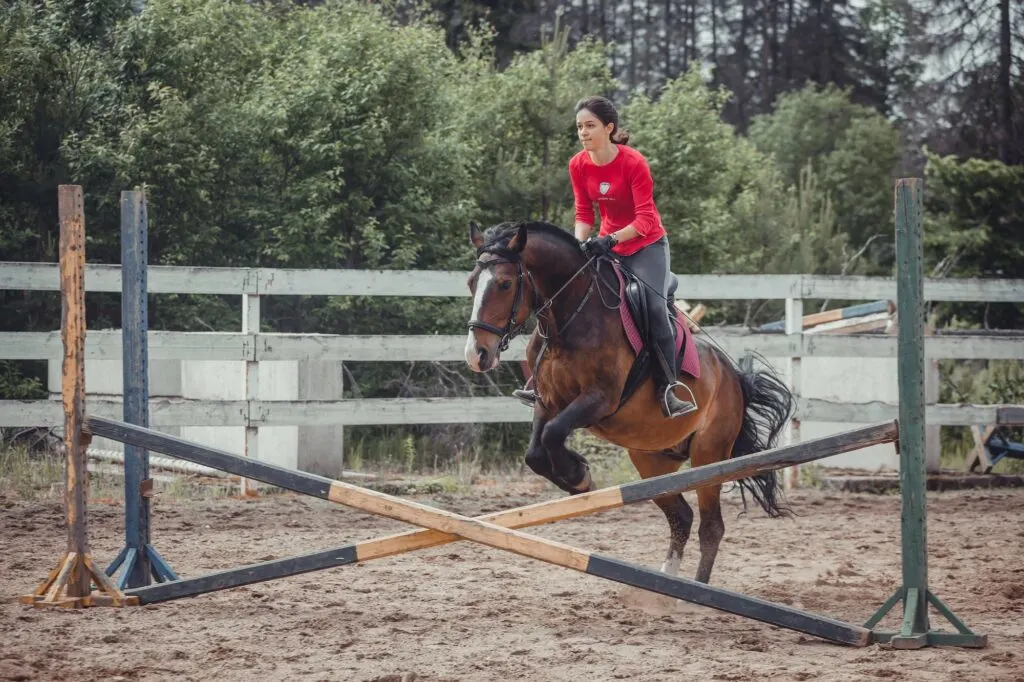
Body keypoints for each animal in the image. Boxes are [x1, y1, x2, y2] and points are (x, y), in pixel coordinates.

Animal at [464, 220, 790, 581]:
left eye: (505, 283)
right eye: (471, 283)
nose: (477, 355)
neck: (571, 319)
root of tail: (733, 375)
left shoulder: (599, 400)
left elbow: (553, 434)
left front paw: (578, 476)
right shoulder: (547, 401)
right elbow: (536, 451)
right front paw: (576, 476)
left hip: (709, 455)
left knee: (711, 526)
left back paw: (695, 589)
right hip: (651, 459)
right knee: (681, 516)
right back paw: (663, 582)